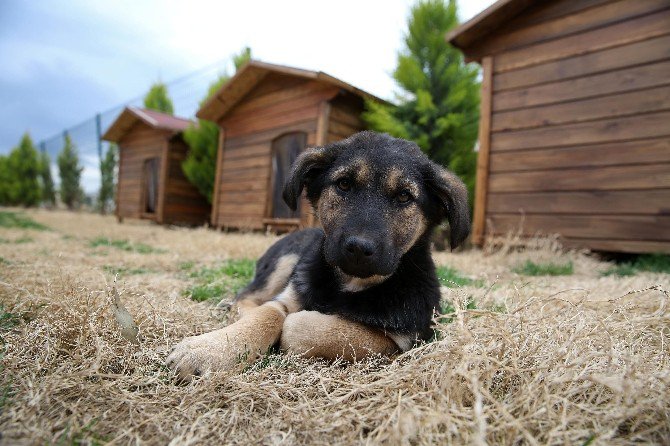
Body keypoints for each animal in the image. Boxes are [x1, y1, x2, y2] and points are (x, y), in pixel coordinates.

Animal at [168, 130, 472, 380]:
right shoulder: (290, 293)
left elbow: (309, 327)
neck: (349, 283)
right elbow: (270, 313)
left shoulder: (408, 339)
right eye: (344, 184)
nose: (358, 248)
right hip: (287, 261)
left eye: (405, 196)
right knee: (246, 297)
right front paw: (210, 350)